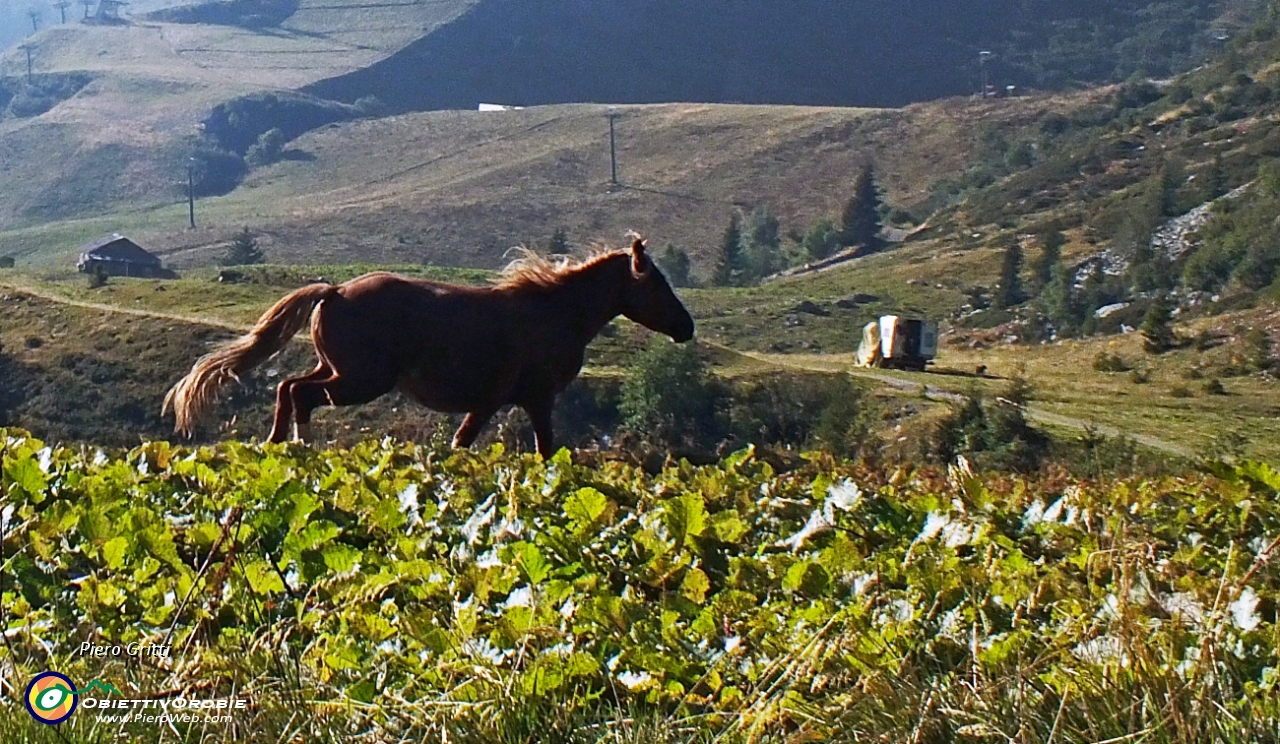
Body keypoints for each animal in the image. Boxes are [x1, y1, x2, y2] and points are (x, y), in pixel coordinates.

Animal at [167, 238, 701, 453]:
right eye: (656, 284)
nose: (686, 327)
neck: (553, 311)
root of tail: (333, 291)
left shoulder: (502, 401)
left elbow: (471, 444)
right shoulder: (528, 398)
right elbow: (535, 450)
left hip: (339, 370)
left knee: (287, 388)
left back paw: (278, 444)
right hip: (360, 380)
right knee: (300, 394)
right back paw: (299, 445)